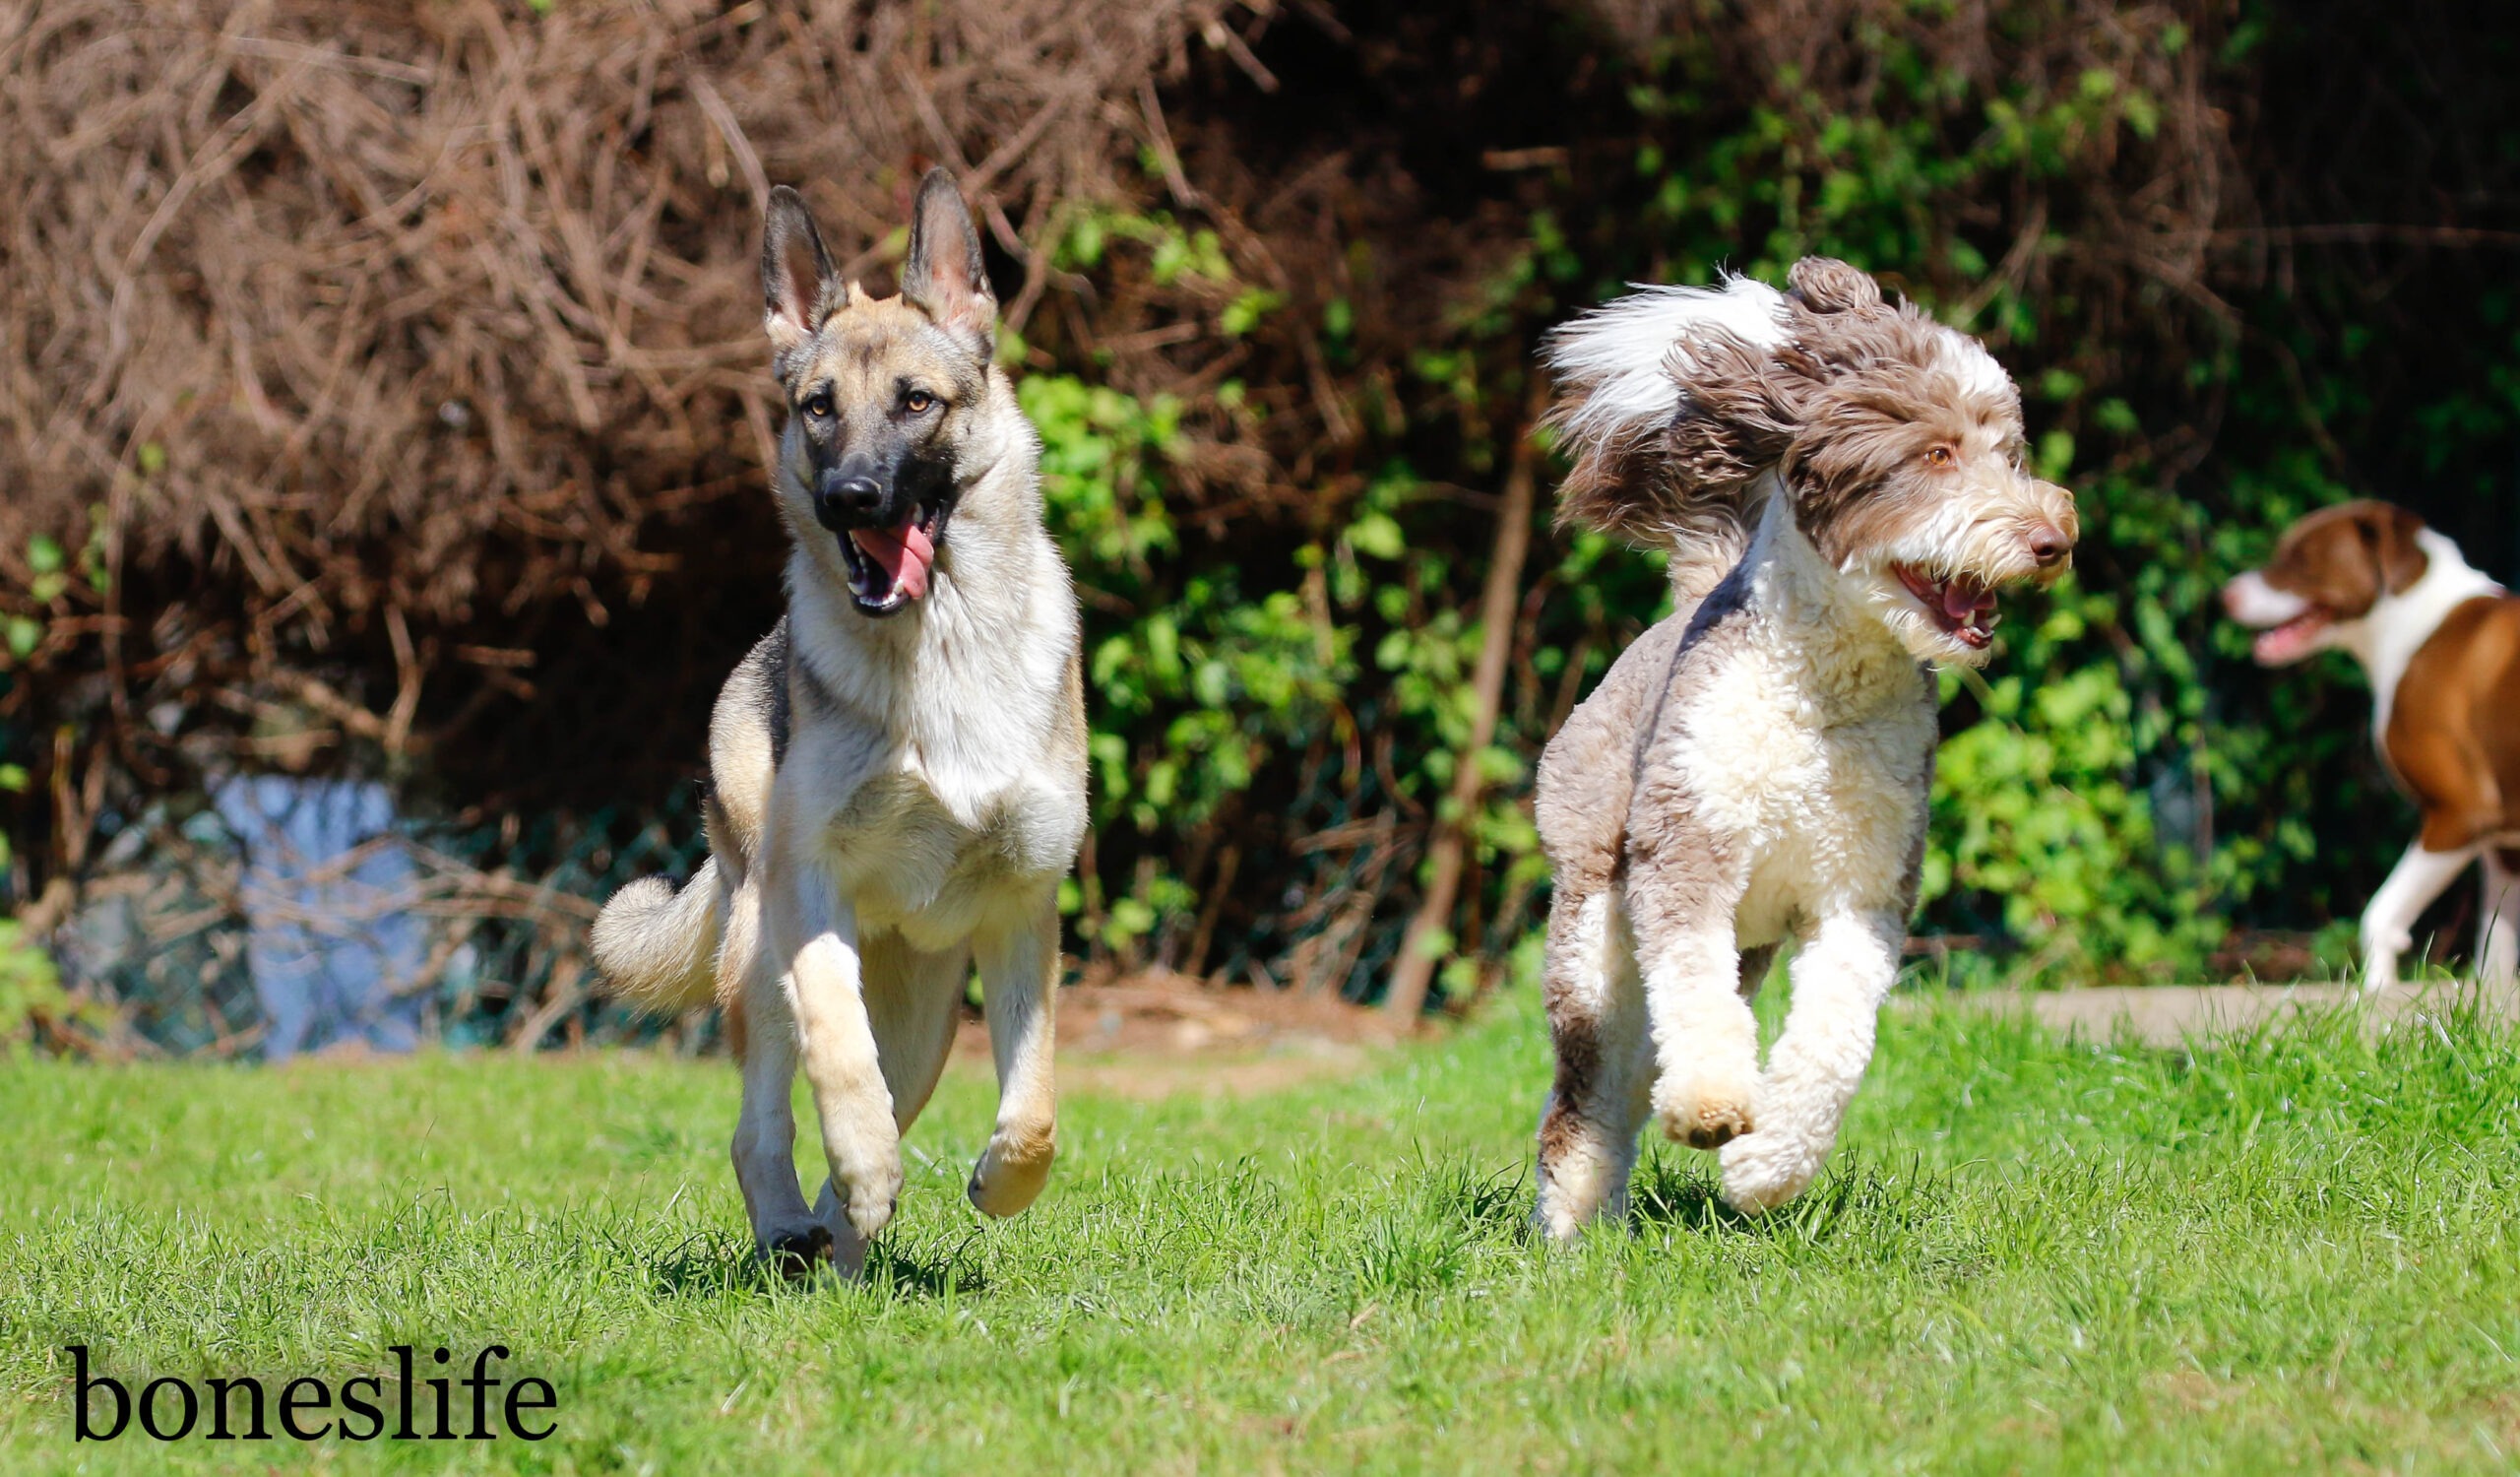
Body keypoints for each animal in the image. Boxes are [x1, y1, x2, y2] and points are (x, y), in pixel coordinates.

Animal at [591, 170, 1088, 1275]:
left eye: (916, 402)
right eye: (818, 408)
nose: (849, 497)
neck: (939, 652)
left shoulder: (1022, 910)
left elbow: (1036, 1105)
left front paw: (997, 1181)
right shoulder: (807, 885)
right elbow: (837, 1048)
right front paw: (859, 1164)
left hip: (930, 1019)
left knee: (887, 1098)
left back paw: (844, 1246)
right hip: (759, 954)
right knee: (766, 1120)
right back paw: (795, 1224)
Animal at [1529, 260, 2076, 1237]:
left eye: (2009, 453)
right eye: (1936, 455)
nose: (2053, 540)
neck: (1822, 694)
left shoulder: (1863, 889)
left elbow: (1834, 1037)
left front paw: (1765, 1164)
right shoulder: (1688, 846)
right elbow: (1692, 985)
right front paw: (1713, 1106)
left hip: (1746, 948)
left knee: (1636, 1078)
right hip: (1593, 917)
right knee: (1593, 1083)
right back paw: (1573, 1225)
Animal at [2221, 500, 2518, 988]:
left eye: (2301, 559)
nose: (2225, 596)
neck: (2412, 617)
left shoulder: (2460, 811)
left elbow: (2379, 913)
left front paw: (2377, 989)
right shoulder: (2503, 844)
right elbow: (2495, 947)